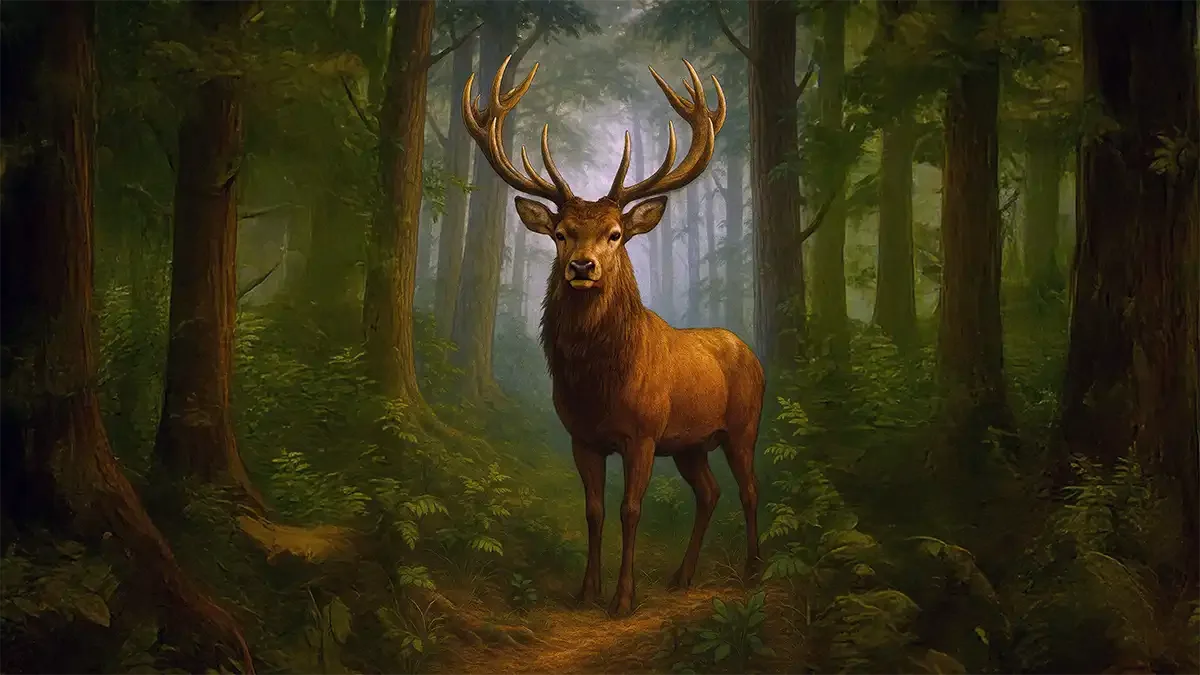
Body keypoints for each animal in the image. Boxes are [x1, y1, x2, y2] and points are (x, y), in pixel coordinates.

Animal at [461, 56, 765, 617]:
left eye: (615, 234)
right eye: (560, 234)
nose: (582, 267)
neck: (599, 386)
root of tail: (752, 354)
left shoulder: (643, 433)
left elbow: (630, 509)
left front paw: (624, 598)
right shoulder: (582, 436)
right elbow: (595, 510)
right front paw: (587, 592)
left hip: (744, 425)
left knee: (749, 490)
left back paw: (755, 569)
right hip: (690, 444)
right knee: (709, 492)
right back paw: (681, 576)